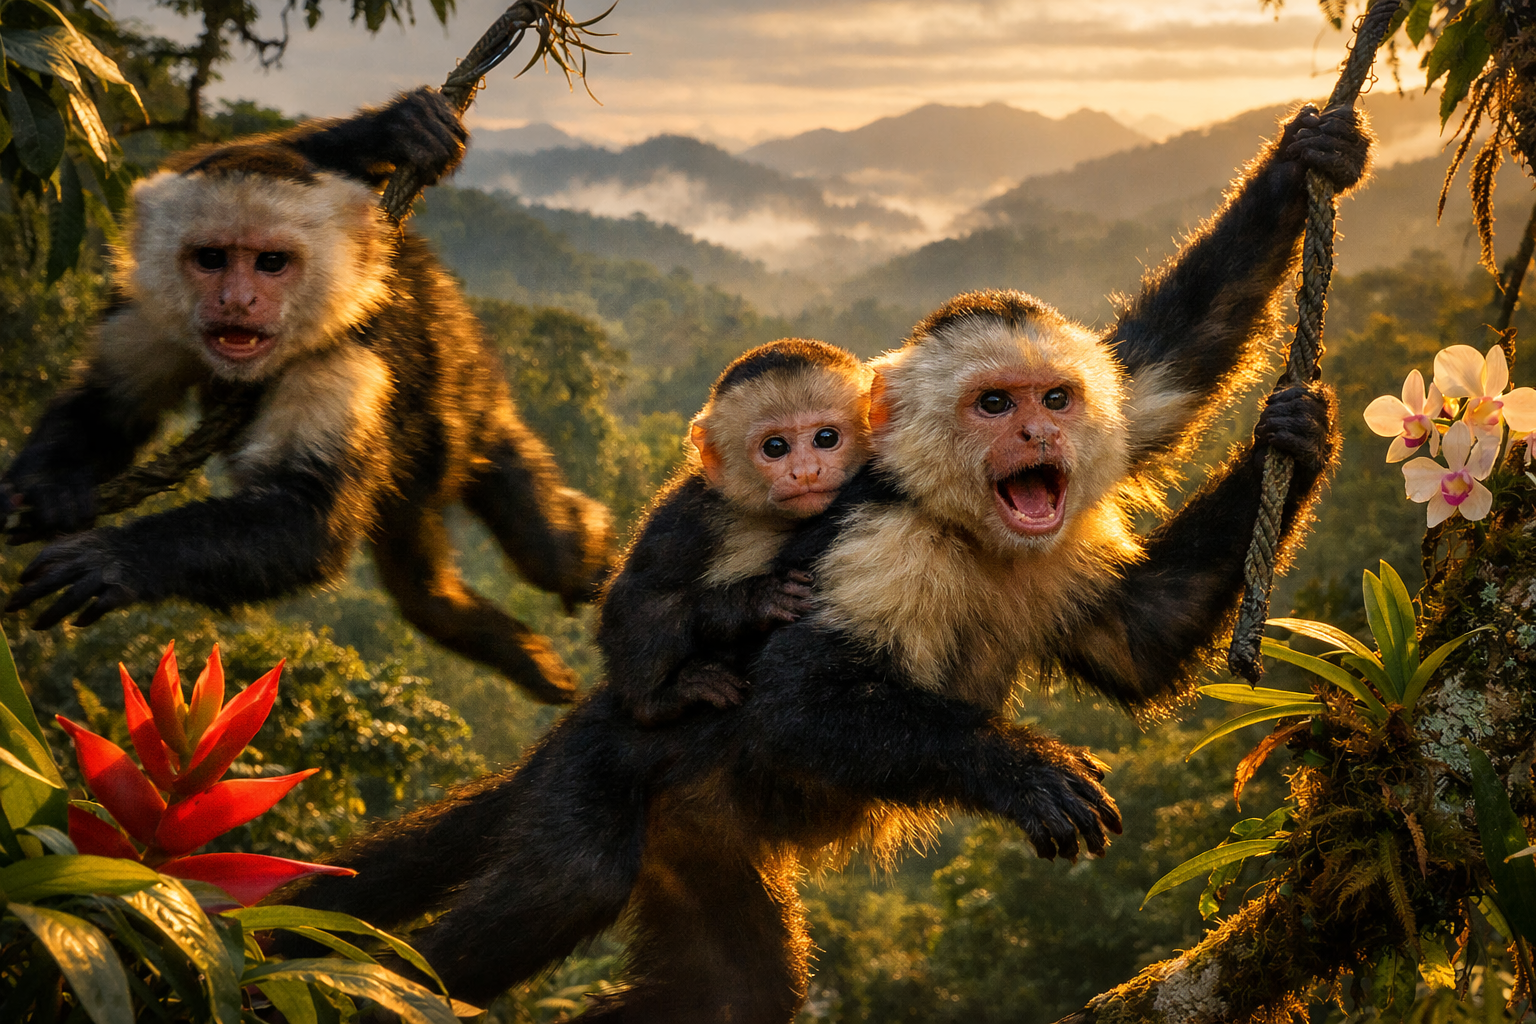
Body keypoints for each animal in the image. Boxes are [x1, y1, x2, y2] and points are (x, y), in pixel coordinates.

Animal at [0, 89, 612, 705]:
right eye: (211, 258)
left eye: (271, 263)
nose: (237, 302)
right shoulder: (150, 316)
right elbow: (108, 403)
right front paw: (50, 486)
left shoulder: (342, 353)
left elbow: (309, 516)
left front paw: (116, 560)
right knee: (419, 586)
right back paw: (512, 646)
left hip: (463, 376)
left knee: (541, 545)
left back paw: (588, 546)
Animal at [599, 338, 872, 726]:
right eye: (775, 447)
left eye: (826, 438)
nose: (806, 472)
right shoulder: (694, 513)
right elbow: (641, 594)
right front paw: (754, 601)